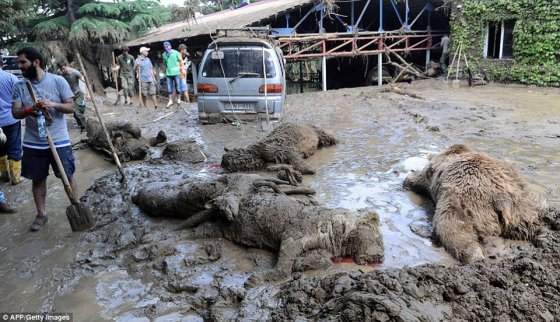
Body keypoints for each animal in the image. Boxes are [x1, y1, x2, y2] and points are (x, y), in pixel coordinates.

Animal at [133, 174, 382, 284]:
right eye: (378, 238)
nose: (380, 256)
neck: (330, 228)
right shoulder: (295, 233)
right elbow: (283, 265)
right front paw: (267, 276)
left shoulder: (322, 247)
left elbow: (320, 259)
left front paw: (302, 263)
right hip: (215, 190)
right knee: (186, 201)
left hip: (214, 228)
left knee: (196, 230)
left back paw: (160, 238)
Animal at [402, 145, 548, 262]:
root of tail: (502, 201)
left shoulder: (433, 172)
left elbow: (420, 178)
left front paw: (408, 179)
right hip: (524, 205)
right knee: (535, 221)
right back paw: (543, 237)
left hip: (461, 204)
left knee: (453, 228)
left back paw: (473, 255)